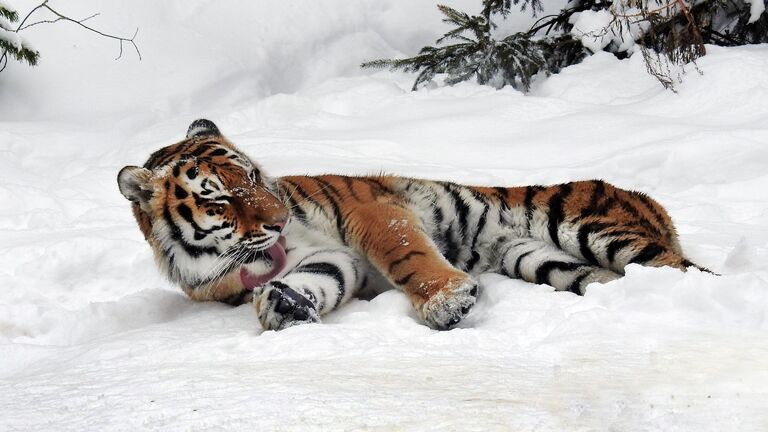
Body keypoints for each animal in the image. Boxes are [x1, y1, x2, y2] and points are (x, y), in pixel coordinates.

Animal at [115, 118, 708, 330]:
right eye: (220, 201)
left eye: (255, 177)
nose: (280, 221)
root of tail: (650, 201)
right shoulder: (323, 260)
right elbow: (320, 279)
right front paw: (285, 305)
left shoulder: (368, 209)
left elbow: (402, 252)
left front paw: (446, 301)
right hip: (543, 260)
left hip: (590, 228)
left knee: (687, 271)